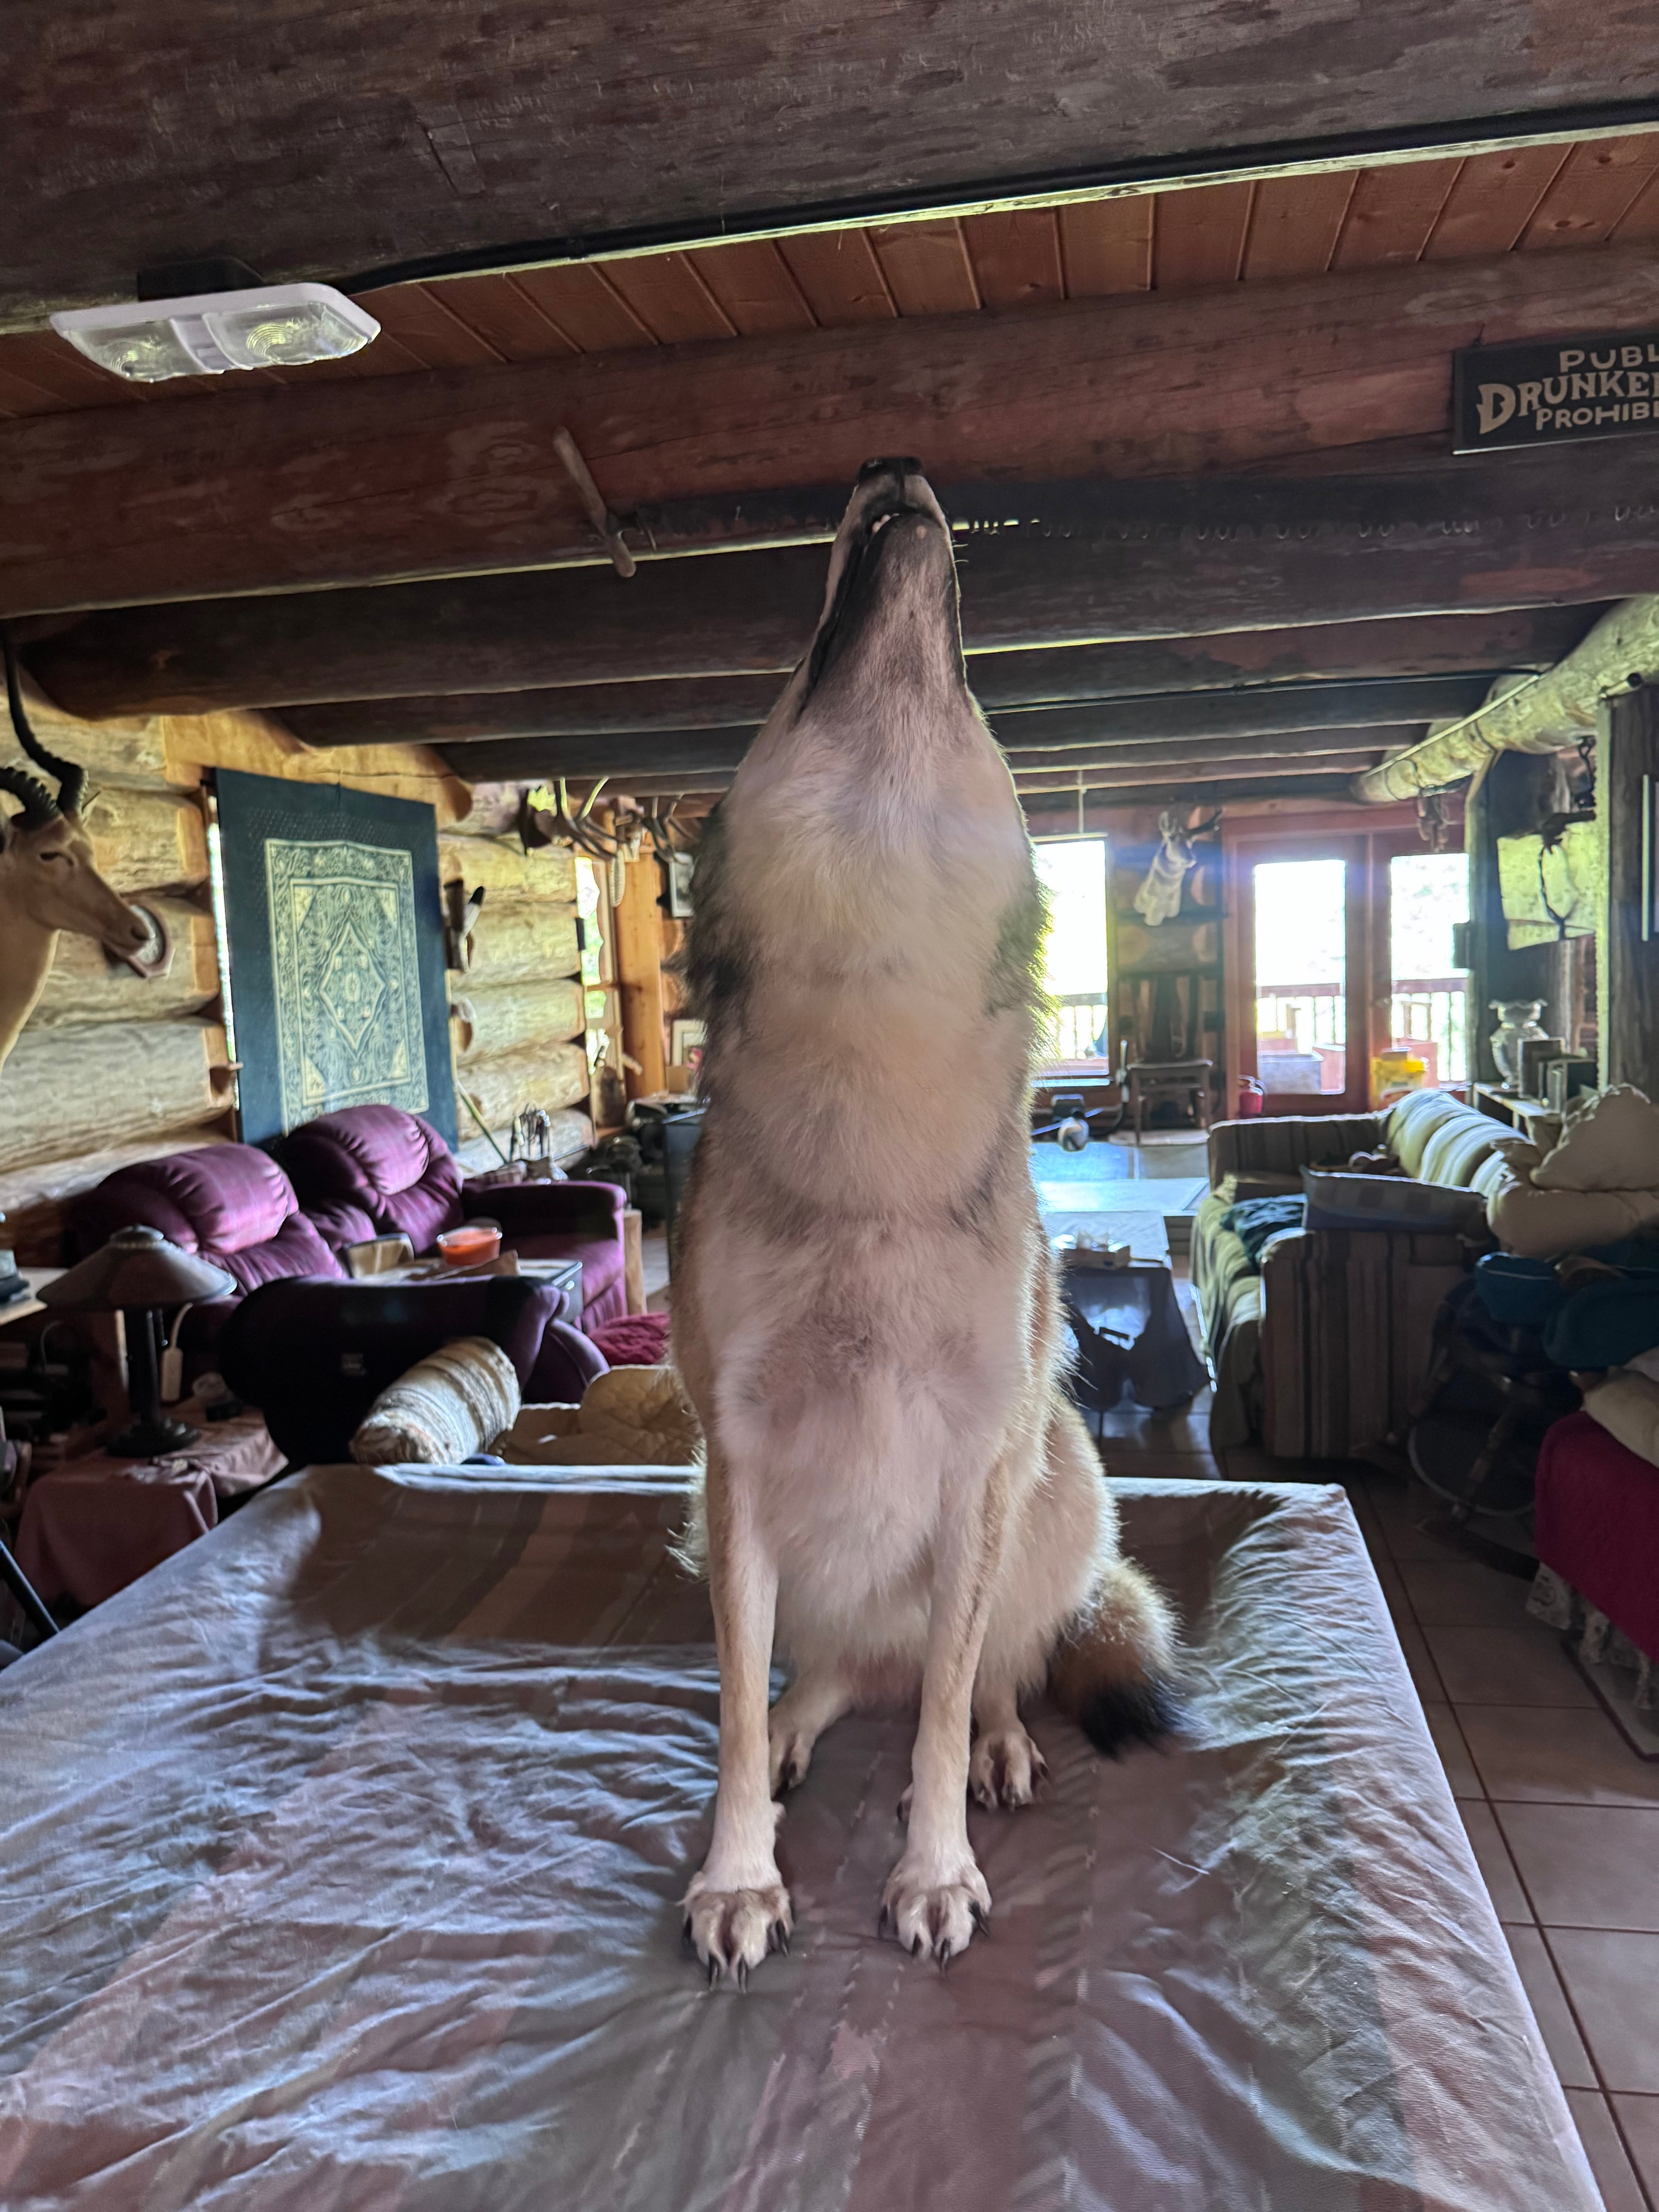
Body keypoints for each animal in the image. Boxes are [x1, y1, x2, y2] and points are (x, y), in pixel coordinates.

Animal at [672, 459, 1181, 1982]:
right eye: (799, 658)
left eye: (971, 685)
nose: (889, 466)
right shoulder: (733, 1463)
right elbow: (732, 1708)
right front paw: (738, 1875)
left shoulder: (976, 1463)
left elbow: (949, 1712)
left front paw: (933, 1866)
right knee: (836, 1676)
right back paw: (806, 1725)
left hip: (1058, 1481)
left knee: (984, 1672)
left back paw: (1006, 1747)